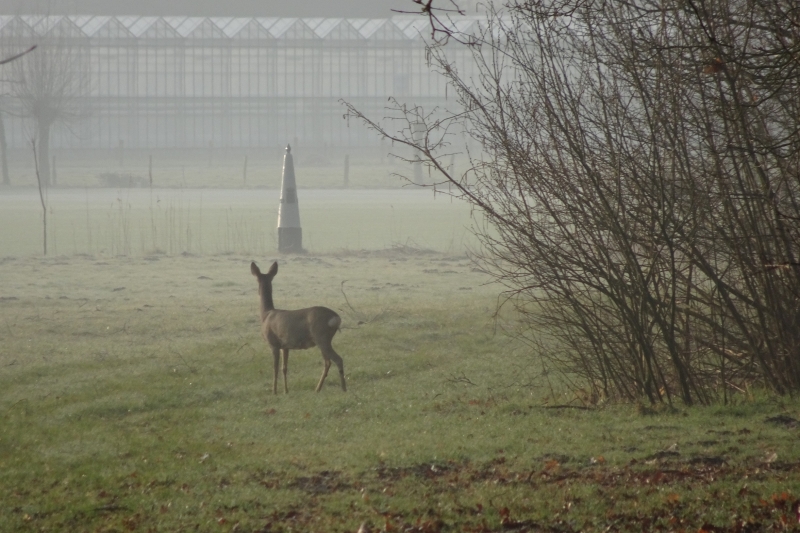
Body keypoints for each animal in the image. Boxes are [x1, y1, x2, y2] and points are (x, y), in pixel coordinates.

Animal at [250, 260, 346, 392]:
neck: (266, 314)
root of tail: (336, 318)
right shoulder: (285, 346)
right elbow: (284, 368)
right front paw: (286, 391)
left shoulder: (273, 343)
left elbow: (275, 369)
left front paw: (274, 391)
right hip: (324, 339)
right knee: (328, 362)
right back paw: (317, 389)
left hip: (321, 337)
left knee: (337, 359)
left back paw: (343, 388)